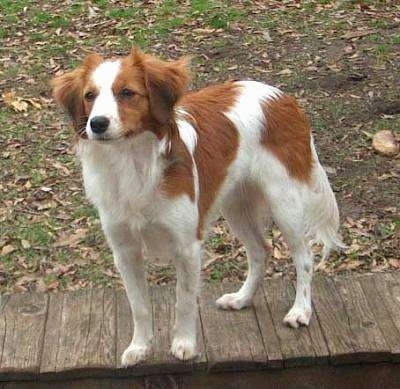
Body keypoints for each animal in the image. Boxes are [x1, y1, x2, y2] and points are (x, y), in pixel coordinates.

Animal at [51, 48, 342, 364]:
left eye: (127, 93)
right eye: (89, 95)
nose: (97, 123)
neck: (132, 162)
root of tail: (281, 96)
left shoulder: (186, 246)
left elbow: (185, 300)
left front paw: (184, 344)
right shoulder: (125, 251)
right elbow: (139, 305)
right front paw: (139, 347)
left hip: (284, 202)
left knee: (304, 257)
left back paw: (300, 310)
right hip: (236, 207)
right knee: (259, 251)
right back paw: (242, 298)